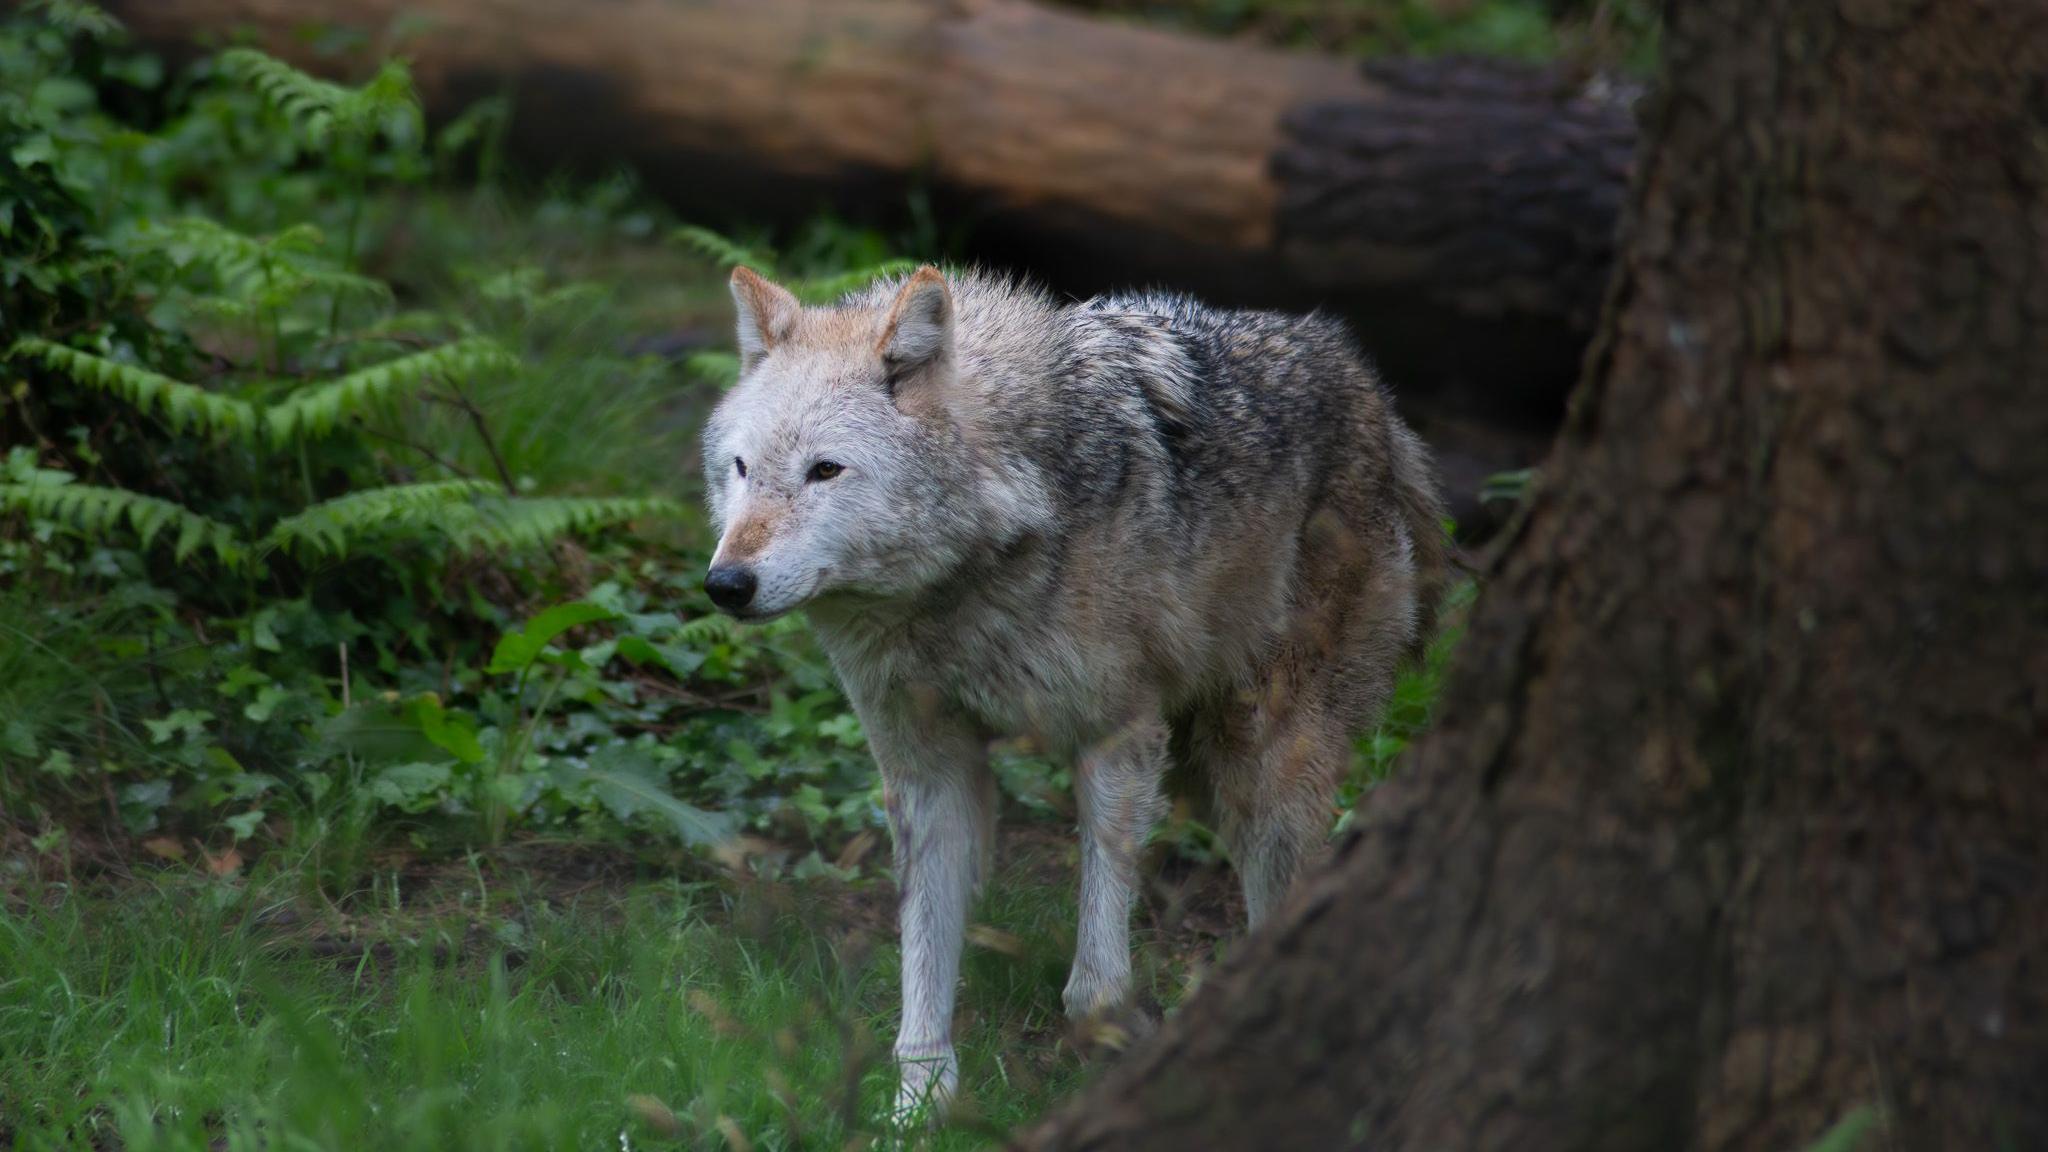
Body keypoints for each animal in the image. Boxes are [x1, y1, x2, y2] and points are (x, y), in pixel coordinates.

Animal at [696, 262, 1449, 1115]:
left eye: (824, 470)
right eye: (743, 469)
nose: (726, 584)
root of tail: (1370, 389)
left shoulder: (1117, 736)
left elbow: (1091, 987)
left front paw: (1126, 1037)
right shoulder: (927, 773)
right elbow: (924, 961)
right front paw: (919, 1107)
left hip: (1267, 765)